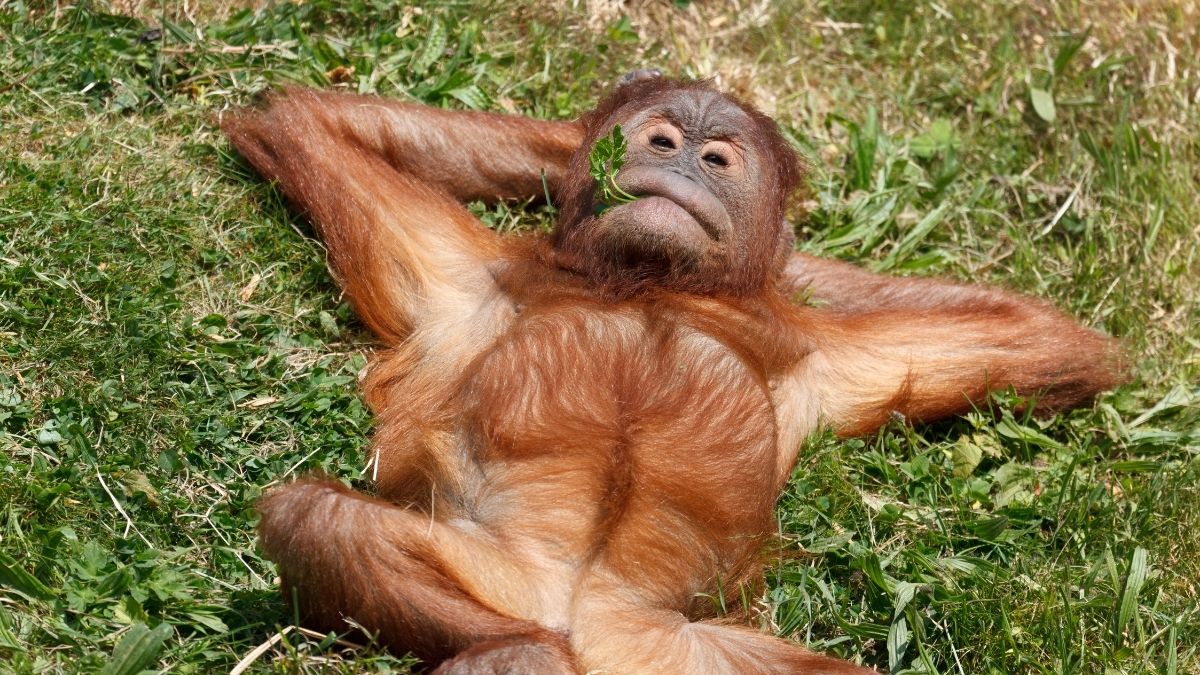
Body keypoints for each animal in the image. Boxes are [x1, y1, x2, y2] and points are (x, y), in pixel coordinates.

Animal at [222, 73, 1123, 673]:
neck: (650, 285)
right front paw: (585, 141)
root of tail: (593, 628)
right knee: (323, 520)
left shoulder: (826, 359)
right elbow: (304, 123)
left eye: (719, 157)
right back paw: (523, 652)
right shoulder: (463, 279)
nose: (677, 155)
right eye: (662, 134)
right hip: (498, 578)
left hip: (691, 654)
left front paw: (786, 260)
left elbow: (1044, 340)